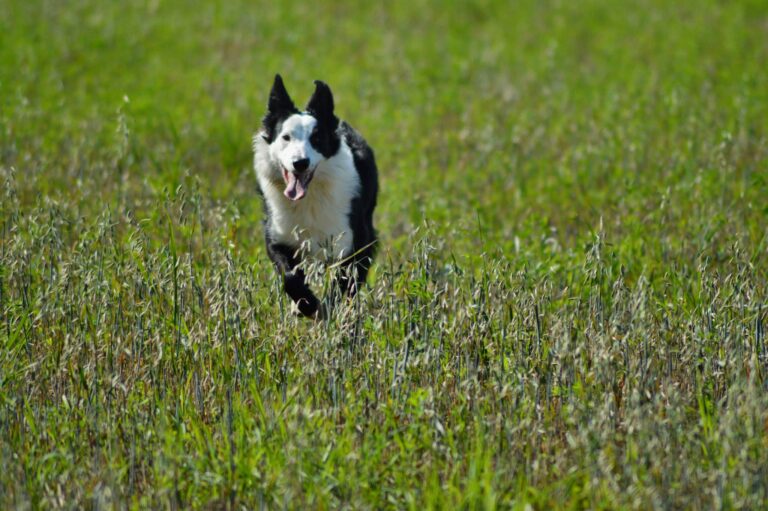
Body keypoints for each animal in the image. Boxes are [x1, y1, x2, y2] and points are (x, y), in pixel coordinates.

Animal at [254, 74, 380, 318]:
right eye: (286, 137)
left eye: (317, 139)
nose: (300, 163)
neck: (309, 199)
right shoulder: (278, 236)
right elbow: (290, 276)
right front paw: (307, 305)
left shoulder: (358, 242)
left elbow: (343, 285)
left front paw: (330, 312)